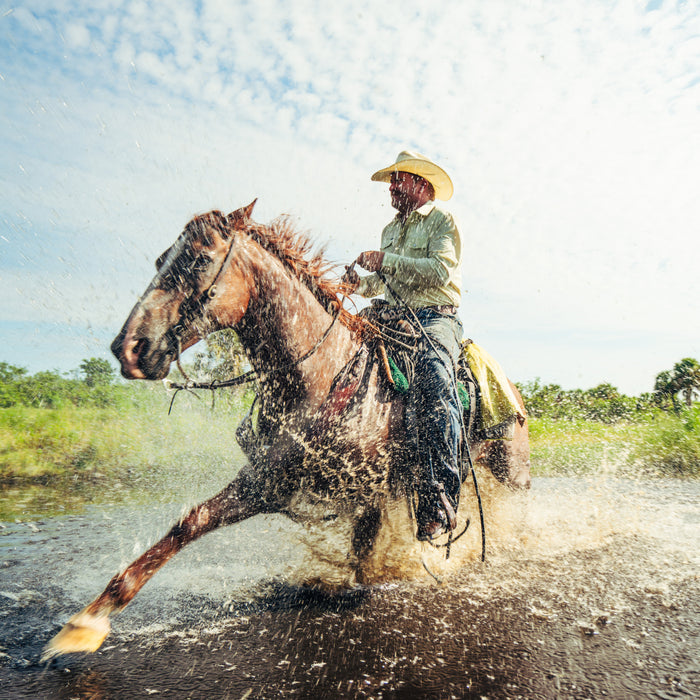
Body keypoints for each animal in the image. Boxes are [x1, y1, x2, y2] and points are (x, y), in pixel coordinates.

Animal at [43, 200, 530, 659]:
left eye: (200, 259)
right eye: (162, 258)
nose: (129, 348)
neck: (321, 375)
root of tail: (514, 390)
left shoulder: (345, 490)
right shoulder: (279, 482)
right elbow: (191, 523)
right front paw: (86, 622)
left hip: (510, 475)